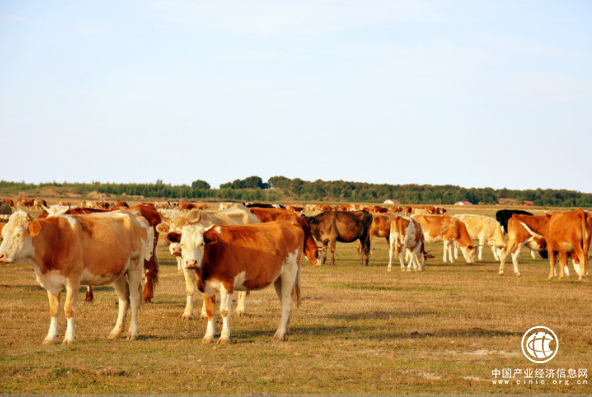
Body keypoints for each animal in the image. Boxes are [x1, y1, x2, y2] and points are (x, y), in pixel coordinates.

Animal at [168, 220, 302, 344]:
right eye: (182, 244)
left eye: (201, 244)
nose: (191, 262)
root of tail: (288, 223)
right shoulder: (205, 287)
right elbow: (210, 311)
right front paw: (208, 336)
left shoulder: (227, 284)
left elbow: (224, 311)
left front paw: (224, 337)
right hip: (278, 278)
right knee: (283, 301)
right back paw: (285, 331)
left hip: (289, 271)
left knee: (287, 302)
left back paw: (279, 334)